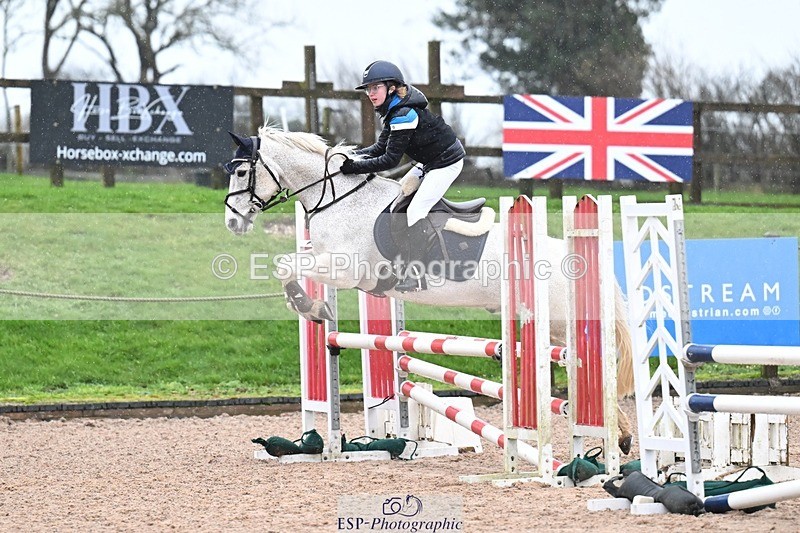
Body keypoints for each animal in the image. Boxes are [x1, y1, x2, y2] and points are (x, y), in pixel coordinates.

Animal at [222, 126, 635, 453]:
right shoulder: (324, 258)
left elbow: (286, 266)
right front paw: (311, 307)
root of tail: (574, 257)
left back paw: (614, 434)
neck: (340, 201)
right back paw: (621, 434)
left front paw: (310, 307)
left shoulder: (345, 270)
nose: (232, 222)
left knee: (590, 364)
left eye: (242, 170)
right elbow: (286, 262)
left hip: (562, 324)